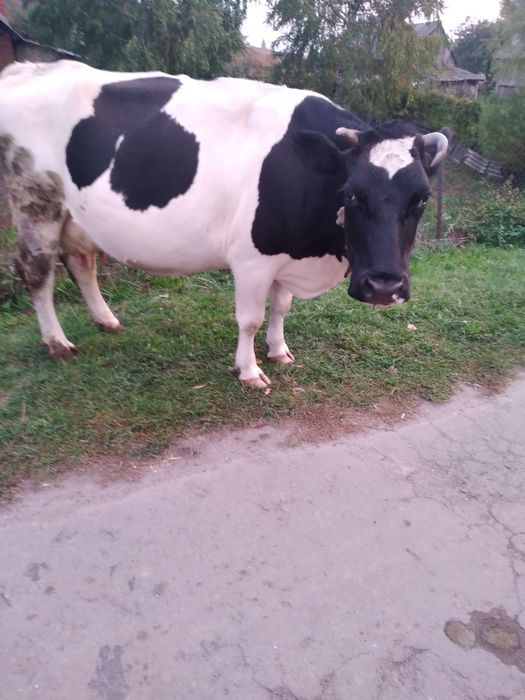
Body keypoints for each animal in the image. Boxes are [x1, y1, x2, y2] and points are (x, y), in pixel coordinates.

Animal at [0, 60, 448, 388]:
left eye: (422, 198)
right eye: (351, 193)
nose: (384, 287)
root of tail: (29, 68)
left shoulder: (286, 251)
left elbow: (281, 307)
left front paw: (279, 351)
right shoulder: (252, 258)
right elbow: (249, 318)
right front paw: (249, 371)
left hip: (76, 217)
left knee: (81, 263)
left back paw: (107, 321)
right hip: (36, 202)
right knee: (36, 272)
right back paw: (58, 342)